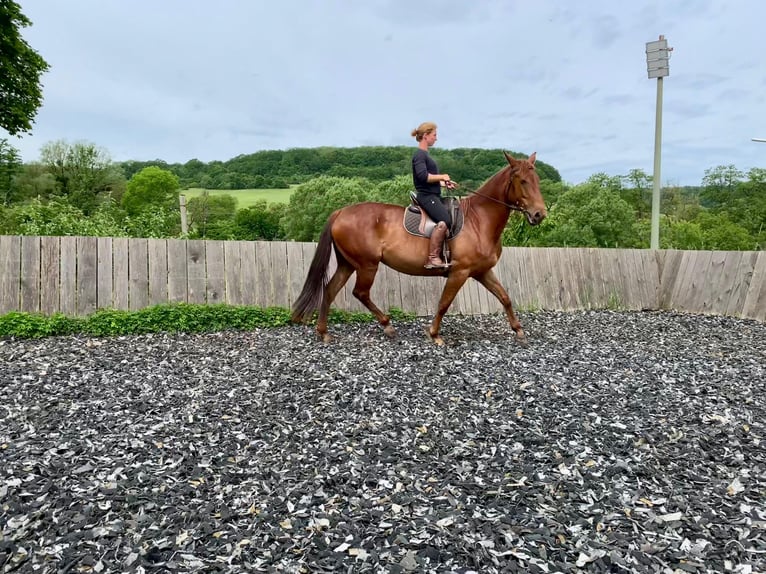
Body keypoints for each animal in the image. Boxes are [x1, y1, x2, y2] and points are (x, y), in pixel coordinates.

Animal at [292, 152, 548, 346]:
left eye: (537, 181)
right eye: (522, 181)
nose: (539, 215)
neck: (479, 220)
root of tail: (340, 212)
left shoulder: (482, 271)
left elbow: (505, 297)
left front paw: (518, 330)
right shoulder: (460, 272)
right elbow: (444, 303)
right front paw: (434, 334)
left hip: (348, 264)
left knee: (330, 290)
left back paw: (324, 332)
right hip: (367, 265)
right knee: (360, 293)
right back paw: (387, 326)